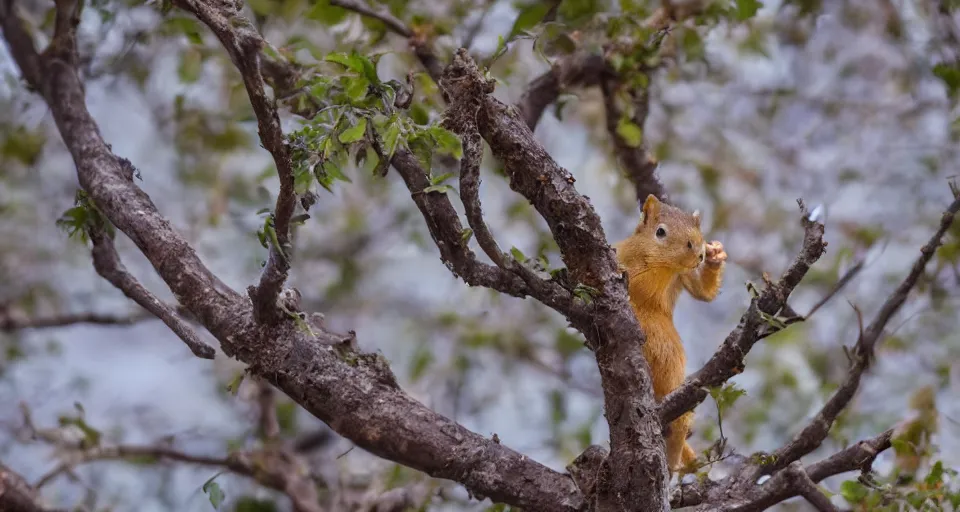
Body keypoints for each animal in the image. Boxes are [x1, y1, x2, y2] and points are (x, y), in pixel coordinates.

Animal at [616, 194, 728, 474]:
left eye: (698, 233)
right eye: (660, 231)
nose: (699, 251)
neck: (662, 268)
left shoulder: (682, 275)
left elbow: (702, 293)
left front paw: (716, 255)